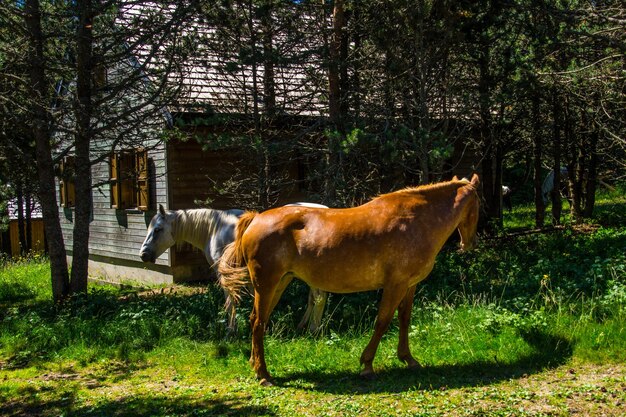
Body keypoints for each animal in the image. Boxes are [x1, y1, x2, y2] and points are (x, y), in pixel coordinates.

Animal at [140, 203, 330, 334]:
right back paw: (304, 326)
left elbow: (230, 300)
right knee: (314, 298)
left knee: (318, 297)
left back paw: (313, 330)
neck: (215, 229)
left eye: (157, 229)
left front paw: (232, 330)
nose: (143, 254)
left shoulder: (224, 274)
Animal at [216, 173, 478, 384]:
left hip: (280, 283)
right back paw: (263, 374)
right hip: (266, 284)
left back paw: (255, 365)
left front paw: (408, 359)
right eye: (479, 202)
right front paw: (367, 365)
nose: (468, 244)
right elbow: (382, 322)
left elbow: (404, 319)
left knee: (256, 320)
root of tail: (256, 218)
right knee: (259, 322)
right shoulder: (395, 285)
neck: (416, 220)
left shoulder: (409, 285)